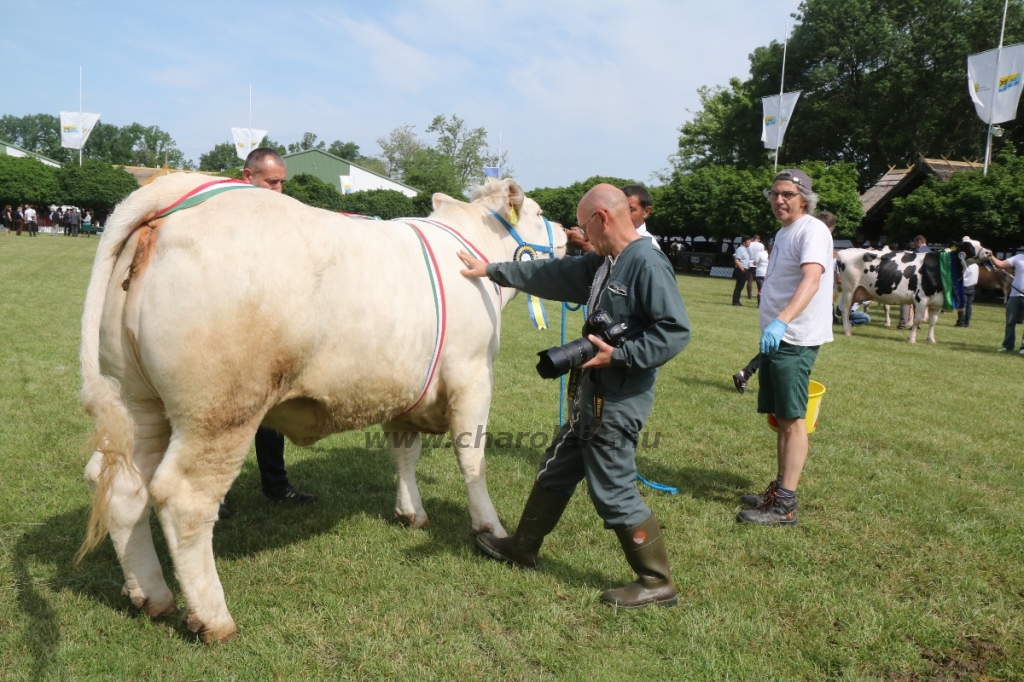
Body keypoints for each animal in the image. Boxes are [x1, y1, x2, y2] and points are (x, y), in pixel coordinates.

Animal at [75, 173, 565, 638]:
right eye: (540, 212)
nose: (568, 231)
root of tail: (175, 193)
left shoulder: (403, 388)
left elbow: (404, 454)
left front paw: (411, 512)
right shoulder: (473, 374)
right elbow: (472, 457)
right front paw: (489, 529)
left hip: (138, 402)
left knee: (123, 488)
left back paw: (150, 595)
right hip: (220, 410)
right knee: (183, 499)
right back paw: (213, 619)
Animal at [839, 237, 991, 342]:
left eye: (980, 243)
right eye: (969, 246)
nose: (988, 252)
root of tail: (845, 251)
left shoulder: (936, 302)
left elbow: (933, 321)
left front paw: (931, 340)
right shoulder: (921, 298)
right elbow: (917, 320)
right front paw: (911, 339)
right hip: (849, 289)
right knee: (845, 310)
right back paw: (847, 331)